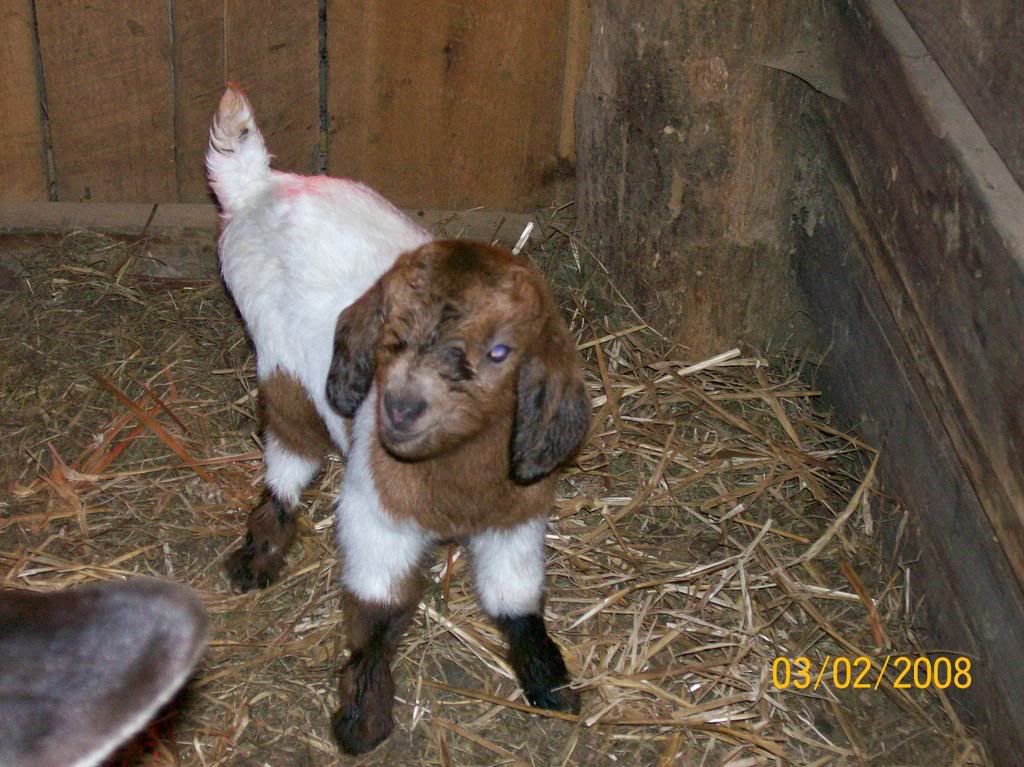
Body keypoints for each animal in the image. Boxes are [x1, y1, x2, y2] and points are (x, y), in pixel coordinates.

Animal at [206, 87, 591, 755]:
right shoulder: (376, 521)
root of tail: (259, 186)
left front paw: (550, 683)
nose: (402, 408)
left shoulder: (515, 524)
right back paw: (257, 556)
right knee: (288, 454)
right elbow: (378, 613)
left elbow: (517, 602)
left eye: (502, 350)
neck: (458, 490)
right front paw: (362, 717)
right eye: (393, 330)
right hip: (280, 367)